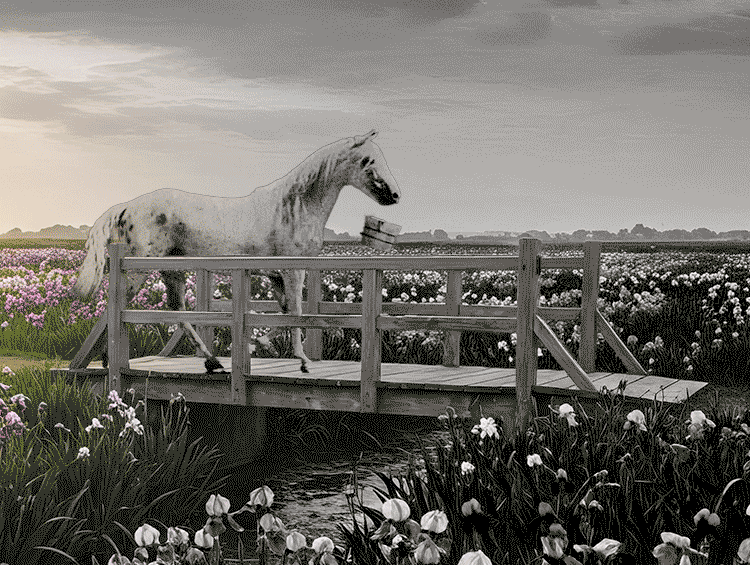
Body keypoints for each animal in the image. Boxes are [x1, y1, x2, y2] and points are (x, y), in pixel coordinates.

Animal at [73, 130, 401, 373]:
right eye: (368, 160)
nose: (395, 195)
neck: (295, 207)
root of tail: (126, 206)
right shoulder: (292, 270)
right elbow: (297, 313)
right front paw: (302, 361)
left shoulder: (277, 276)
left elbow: (284, 313)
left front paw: (258, 345)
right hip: (139, 270)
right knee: (116, 308)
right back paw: (109, 360)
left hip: (172, 271)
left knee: (178, 312)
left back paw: (212, 361)